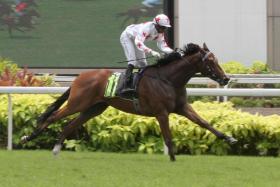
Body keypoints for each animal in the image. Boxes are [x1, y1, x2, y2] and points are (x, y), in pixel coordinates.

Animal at [20, 42, 237, 161]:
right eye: (210, 61)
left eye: (216, 60)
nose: (225, 78)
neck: (168, 79)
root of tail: (79, 77)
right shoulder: (161, 112)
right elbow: (168, 137)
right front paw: (173, 159)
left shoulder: (182, 107)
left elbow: (204, 123)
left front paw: (229, 138)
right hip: (78, 103)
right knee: (53, 117)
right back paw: (28, 138)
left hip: (94, 108)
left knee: (70, 124)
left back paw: (56, 149)